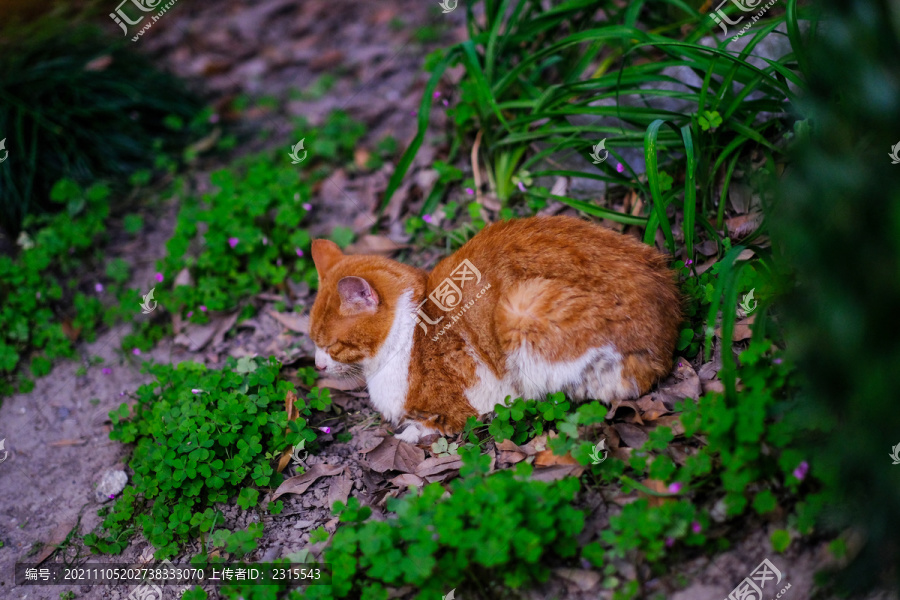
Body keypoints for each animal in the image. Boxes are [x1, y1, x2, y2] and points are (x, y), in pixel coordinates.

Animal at [310, 216, 684, 440]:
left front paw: (408, 432)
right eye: (313, 341)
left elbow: (429, 425)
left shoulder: (471, 399)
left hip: (521, 306)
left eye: (331, 345)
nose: (317, 365)